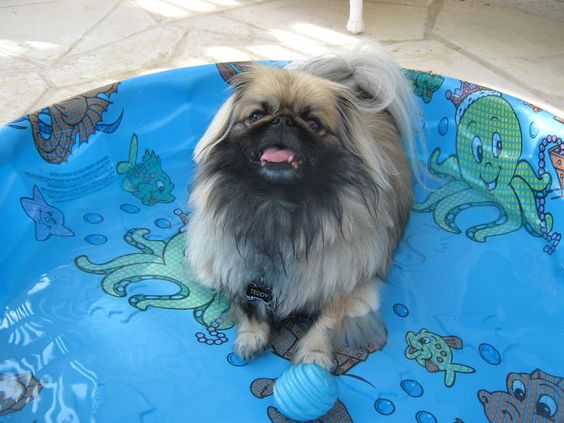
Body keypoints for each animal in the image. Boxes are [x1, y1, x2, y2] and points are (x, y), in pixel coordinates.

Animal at [187, 45, 420, 372]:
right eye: (257, 115)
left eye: (312, 122)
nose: (283, 120)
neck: (278, 203)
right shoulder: (229, 266)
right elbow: (246, 303)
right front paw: (250, 338)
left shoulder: (347, 281)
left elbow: (327, 320)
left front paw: (313, 356)